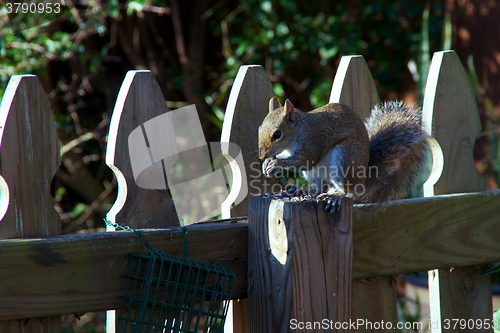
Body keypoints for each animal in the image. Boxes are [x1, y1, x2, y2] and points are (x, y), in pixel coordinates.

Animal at [260, 96, 428, 210]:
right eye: (260, 128)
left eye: (277, 134)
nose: (262, 156)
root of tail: (362, 181)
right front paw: (267, 163)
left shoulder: (312, 143)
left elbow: (304, 161)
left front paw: (275, 164)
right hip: (314, 173)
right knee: (319, 187)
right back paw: (301, 189)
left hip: (345, 157)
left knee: (346, 190)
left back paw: (335, 196)